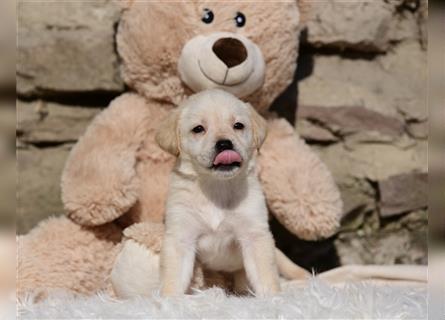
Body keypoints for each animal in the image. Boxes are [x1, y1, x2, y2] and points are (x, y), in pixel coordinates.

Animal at [156, 89, 280, 296]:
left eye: (238, 125)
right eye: (198, 129)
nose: (224, 144)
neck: (217, 187)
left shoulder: (255, 234)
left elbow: (265, 276)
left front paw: (274, 298)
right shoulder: (180, 237)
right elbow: (173, 280)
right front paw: (167, 300)